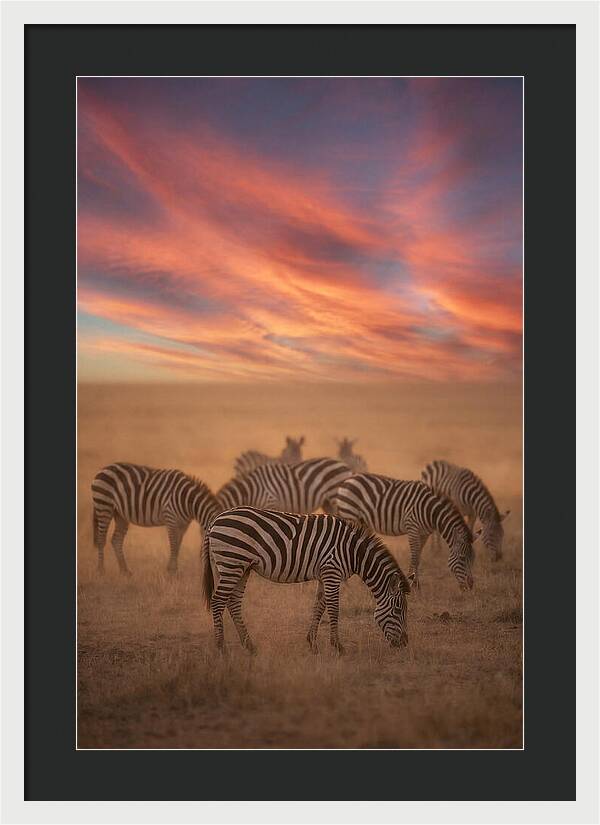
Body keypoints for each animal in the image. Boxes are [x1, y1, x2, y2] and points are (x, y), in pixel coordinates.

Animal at [92, 462, 220, 576]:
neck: (188, 501)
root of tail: (104, 468)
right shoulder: (170, 518)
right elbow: (174, 544)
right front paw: (172, 572)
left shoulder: (183, 525)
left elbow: (178, 545)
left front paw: (172, 570)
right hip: (104, 506)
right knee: (101, 539)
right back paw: (101, 570)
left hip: (120, 514)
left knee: (116, 540)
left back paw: (125, 571)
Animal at [202, 506, 411, 654]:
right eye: (398, 610)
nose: (404, 643)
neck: (353, 552)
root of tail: (216, 520)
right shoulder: (332, 572)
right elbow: (334, 608)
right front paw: (338, 646)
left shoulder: (325, 574)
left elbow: (319, 606)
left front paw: (312, 643)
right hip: (232, 562)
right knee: (218, 601)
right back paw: (221, 647)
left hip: (241, 567)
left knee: (233, 602)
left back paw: (249, 646)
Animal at [330, 473, 482, 591]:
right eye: (462, 558)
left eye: (473, 559)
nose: (470, 586)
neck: (431, 511)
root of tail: (348, 480)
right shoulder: (412, 527)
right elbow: (414, 556)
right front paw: (414, 583)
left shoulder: (424, 533)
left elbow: (418, 557)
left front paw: (415, 582)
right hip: (350, 513)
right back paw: (346, 584)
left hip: (362, 521)